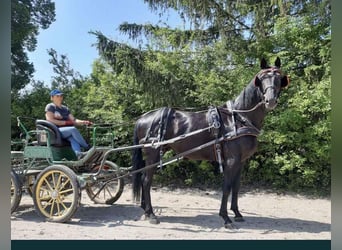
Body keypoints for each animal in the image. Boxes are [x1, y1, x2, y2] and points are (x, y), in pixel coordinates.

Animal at [131, 56, 288, 229]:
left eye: (279, 78)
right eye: (262, 78)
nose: (270, 100)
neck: (239, 119)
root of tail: (143, 118)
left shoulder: (241, 161)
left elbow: (236, 186)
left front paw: (237, 213)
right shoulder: (231, 160)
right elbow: (227, 187)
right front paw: (226, 218)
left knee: (143, 178)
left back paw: (146, 210)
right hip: (152, 154)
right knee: (146, 181)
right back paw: (151, 214)